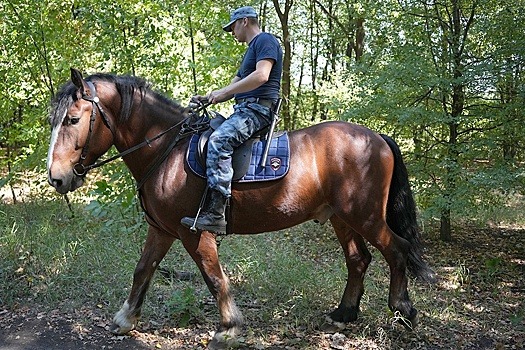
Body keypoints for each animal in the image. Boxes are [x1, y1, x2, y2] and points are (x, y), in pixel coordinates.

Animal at [48, 67, 434, 348]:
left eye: (72, 119)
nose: (57, 178)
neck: (167, 149)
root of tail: (378, 137)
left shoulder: (194, 232)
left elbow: (214, 277)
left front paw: (229, 328)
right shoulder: (161, 229)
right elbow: (143, 269)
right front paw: (126, 319)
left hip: (365, 215)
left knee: (397, 249)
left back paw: (402, 310)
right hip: (342, 217)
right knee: (359, 260)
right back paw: (344, 313)